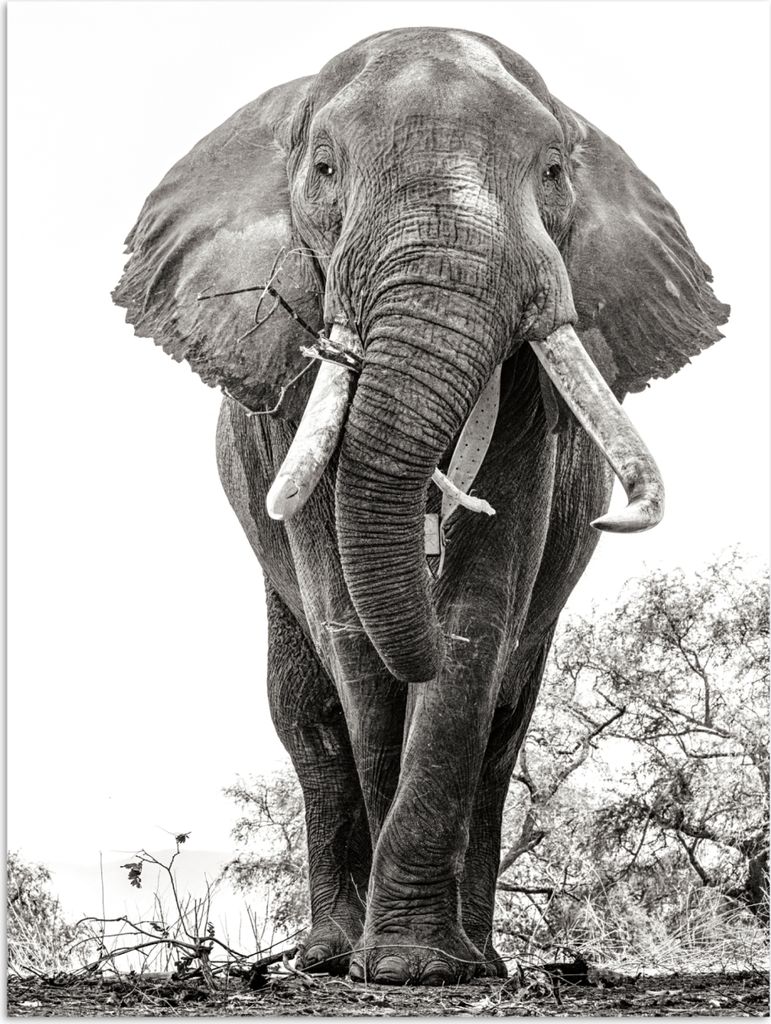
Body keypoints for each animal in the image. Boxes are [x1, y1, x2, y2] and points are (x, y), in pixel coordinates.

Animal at [113, 27, 728, 985]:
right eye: (324, 167)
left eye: (553, 169)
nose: (432, 530)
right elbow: (350, 630)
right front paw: (387, 961)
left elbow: (479, 617)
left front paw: (418, 965)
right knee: (305, 717)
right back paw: (327, 955)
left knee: (505, 726)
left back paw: (480, 959)